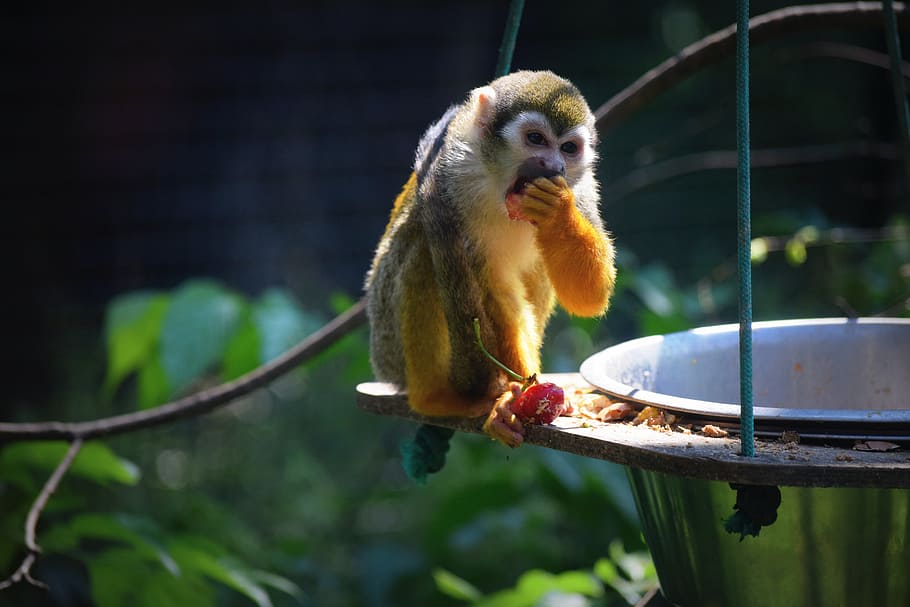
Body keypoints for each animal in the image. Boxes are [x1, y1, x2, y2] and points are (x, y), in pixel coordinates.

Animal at [365, 70, 616, 447]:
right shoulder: (452, 174)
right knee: (423, 245)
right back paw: (436, 398)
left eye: (569, 148)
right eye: (536, 139)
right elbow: (494, 287)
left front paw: (556, 212)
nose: (554, 165)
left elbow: (589, 296)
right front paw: (516, 390)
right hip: (388, 345)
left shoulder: (581, 188)